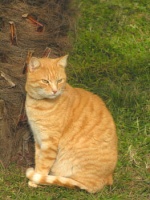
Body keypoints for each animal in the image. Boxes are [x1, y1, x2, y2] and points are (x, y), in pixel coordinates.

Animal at [25, 55, 118, 193]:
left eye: (59, 80)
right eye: (45, 81)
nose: (55, 91)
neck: (38, 104)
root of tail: (107, 178)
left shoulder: (49, 143)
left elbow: (43, 165)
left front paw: (35, 180)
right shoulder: (38, 138)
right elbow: (38, 159)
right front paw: (36, 176)